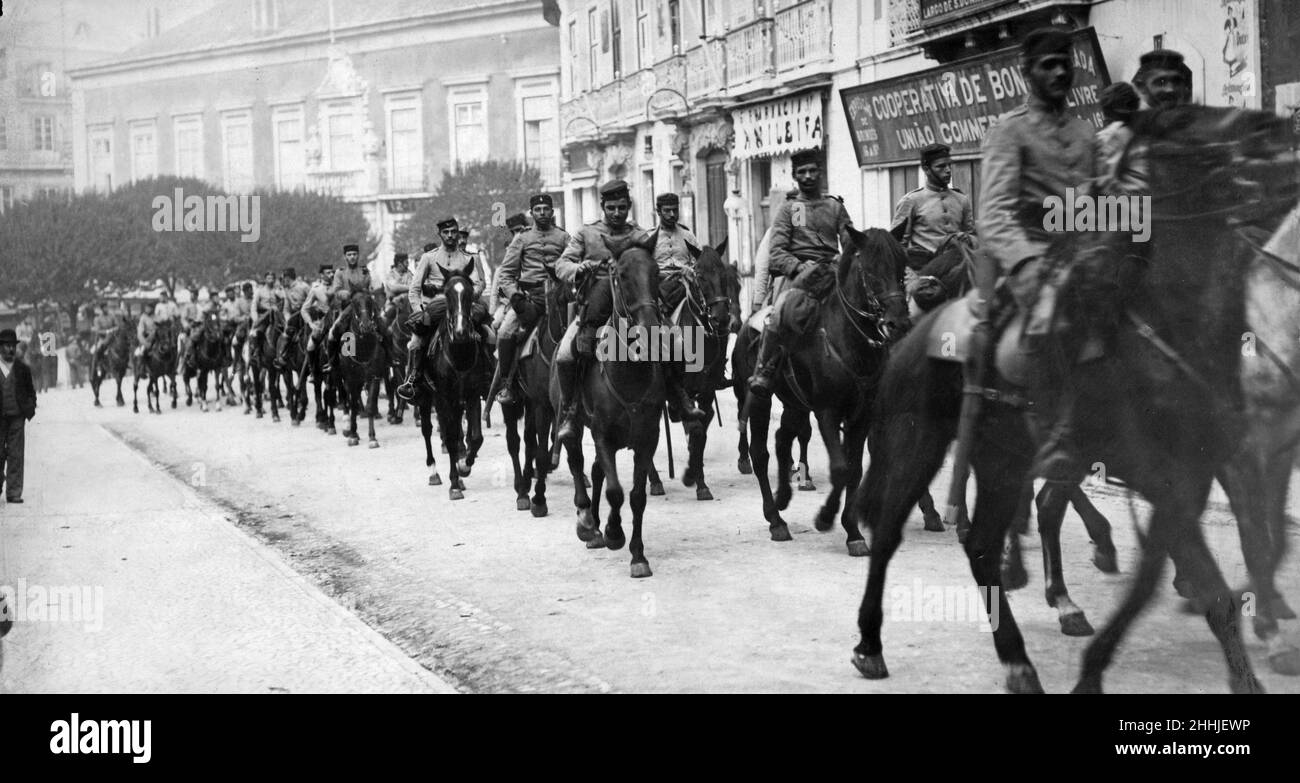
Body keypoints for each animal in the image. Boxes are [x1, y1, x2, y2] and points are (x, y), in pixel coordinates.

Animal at [335, 290, 384, 444]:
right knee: (347, 398)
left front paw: (372, 437)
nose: (366, 325)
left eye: (370, 302)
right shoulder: (351, 379)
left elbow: (370, 405)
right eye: (355, 303)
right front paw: (352, 434)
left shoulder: (374, 377)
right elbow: (353, 404)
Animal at [421, 271, 491, 496]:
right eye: (447, 294)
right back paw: (434, 473)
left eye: (469, 293)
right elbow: (450, 437)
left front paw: (464, 467)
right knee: (427, 429)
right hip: (427, 397)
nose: (461, 332)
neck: (459, 355)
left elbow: (476, 437)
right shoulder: (444, 397)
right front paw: (454, 483)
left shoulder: (471, 395)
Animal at [733, 228, 915, 551]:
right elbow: (840, 468)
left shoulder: (862, 416)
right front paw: (826, 518)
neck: (847, 340)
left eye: (900, 267)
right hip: (759, 399)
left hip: (794, 404)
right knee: (760, 453)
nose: (898, 323)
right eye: (870, 270)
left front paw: (853, 531)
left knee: (782, 440)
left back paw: (782, 498)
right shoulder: (827, 412)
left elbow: (854, 470)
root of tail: (747, 325)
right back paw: (775, 520)